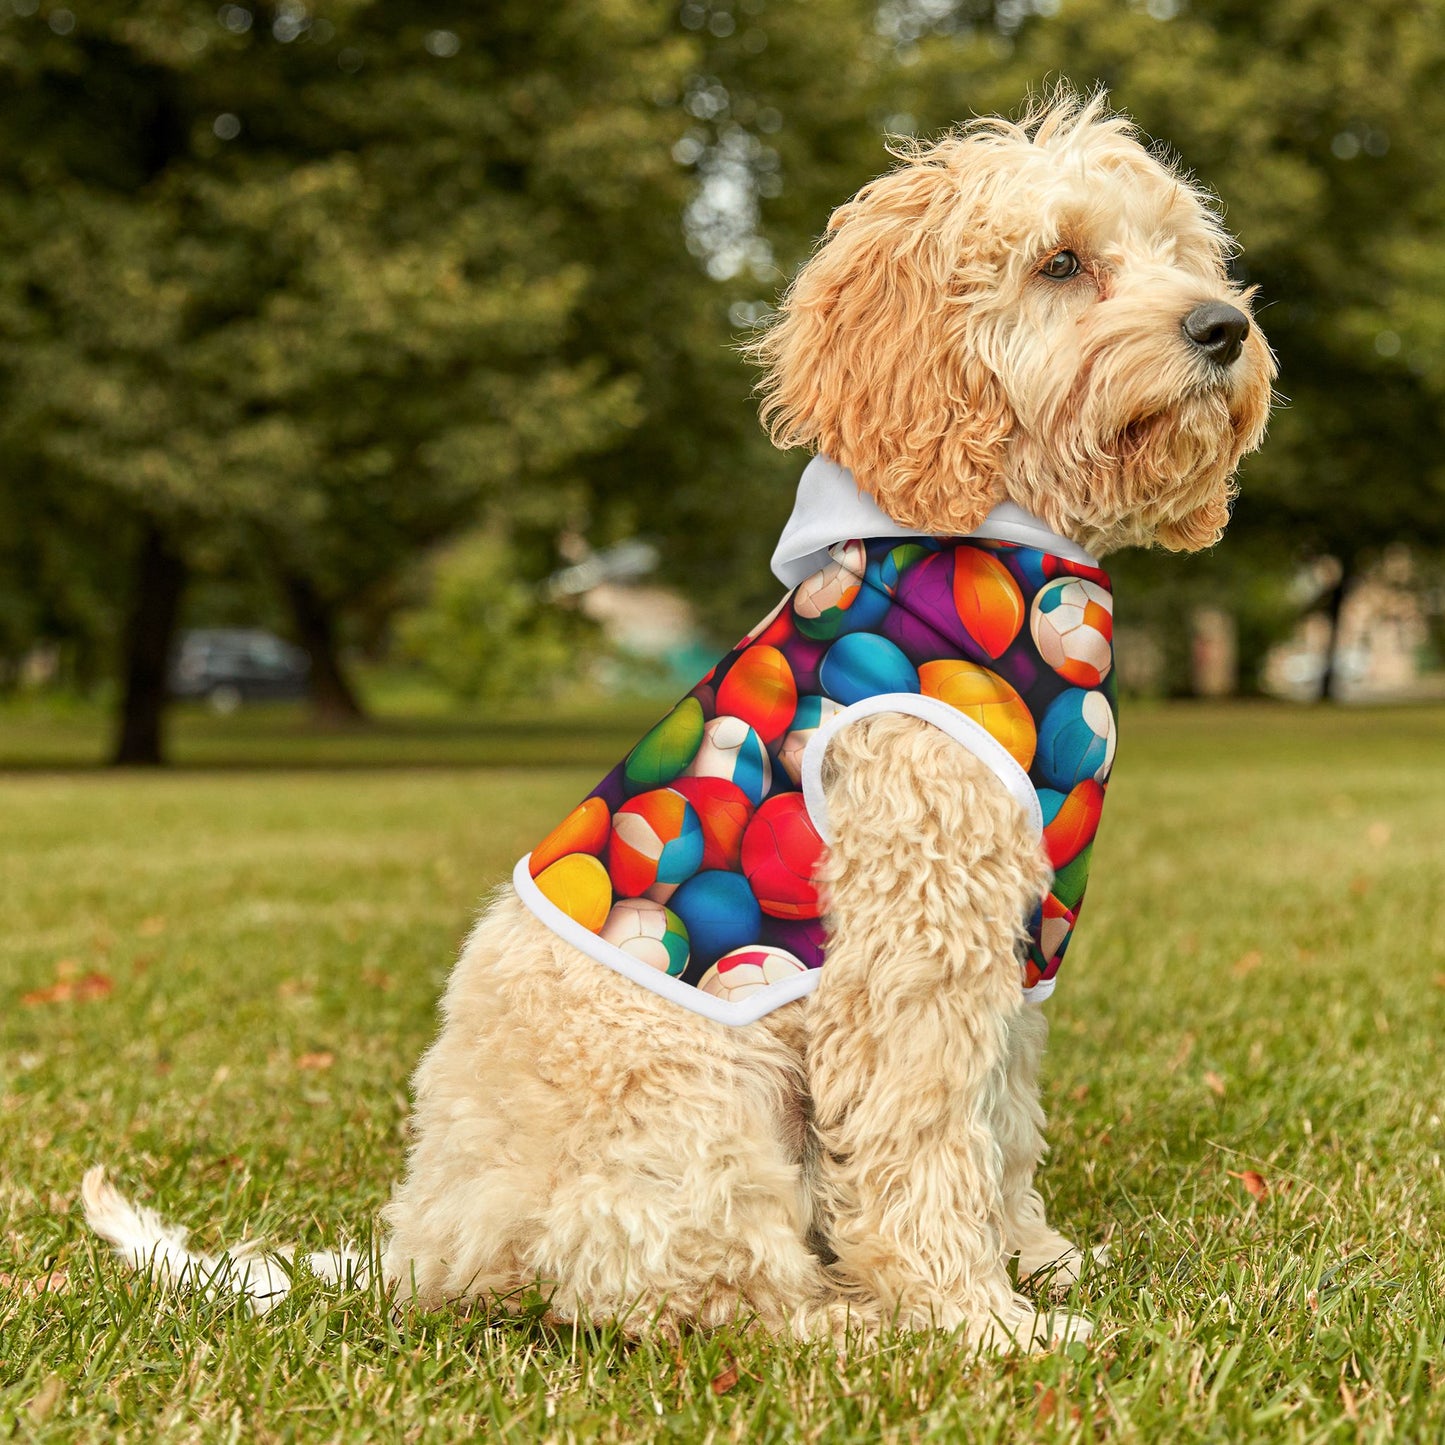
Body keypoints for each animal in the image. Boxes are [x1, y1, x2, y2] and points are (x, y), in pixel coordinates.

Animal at [84, 93, 1271, 1352]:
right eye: (1059, 262)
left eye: (1181, 253)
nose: (1222, 327)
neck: (986, 539)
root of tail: (424, 1247)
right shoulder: (912, 938)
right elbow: (923, 1138)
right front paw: (976, 1319)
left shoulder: (1012, 940)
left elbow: (998, 1122)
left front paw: (1035, 1260)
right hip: (703, 1099)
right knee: (699, 1291)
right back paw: (851, 1322)